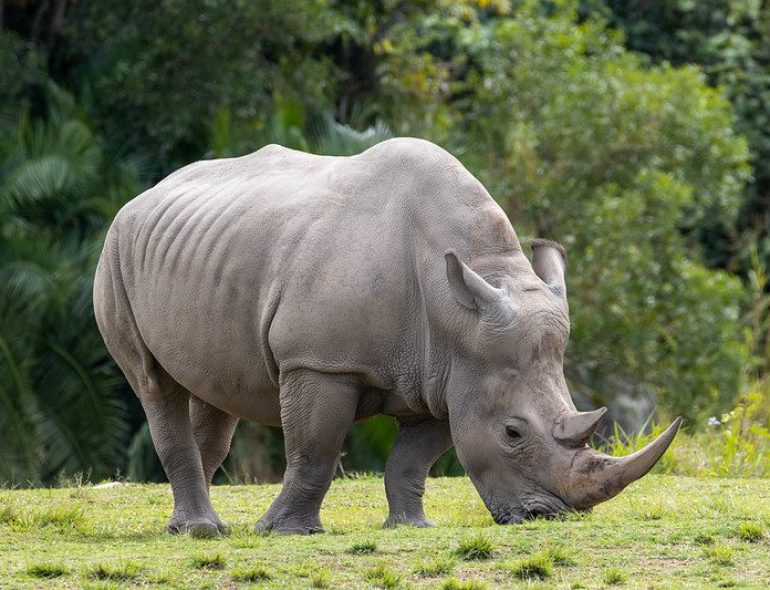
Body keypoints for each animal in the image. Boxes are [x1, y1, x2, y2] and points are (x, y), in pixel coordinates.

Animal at [94, 137, 681, 535]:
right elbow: (316, 449)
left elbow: (412, 458)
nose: (545, 518)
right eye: (513, 433)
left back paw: (191, 526)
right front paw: (283, 532)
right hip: (115, 252)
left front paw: (411, 528)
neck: (458, 310)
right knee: (153, 383)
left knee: (214, 393)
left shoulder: (449, 373)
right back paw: (202, 531)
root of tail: (144, 195)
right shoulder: (321, 360)